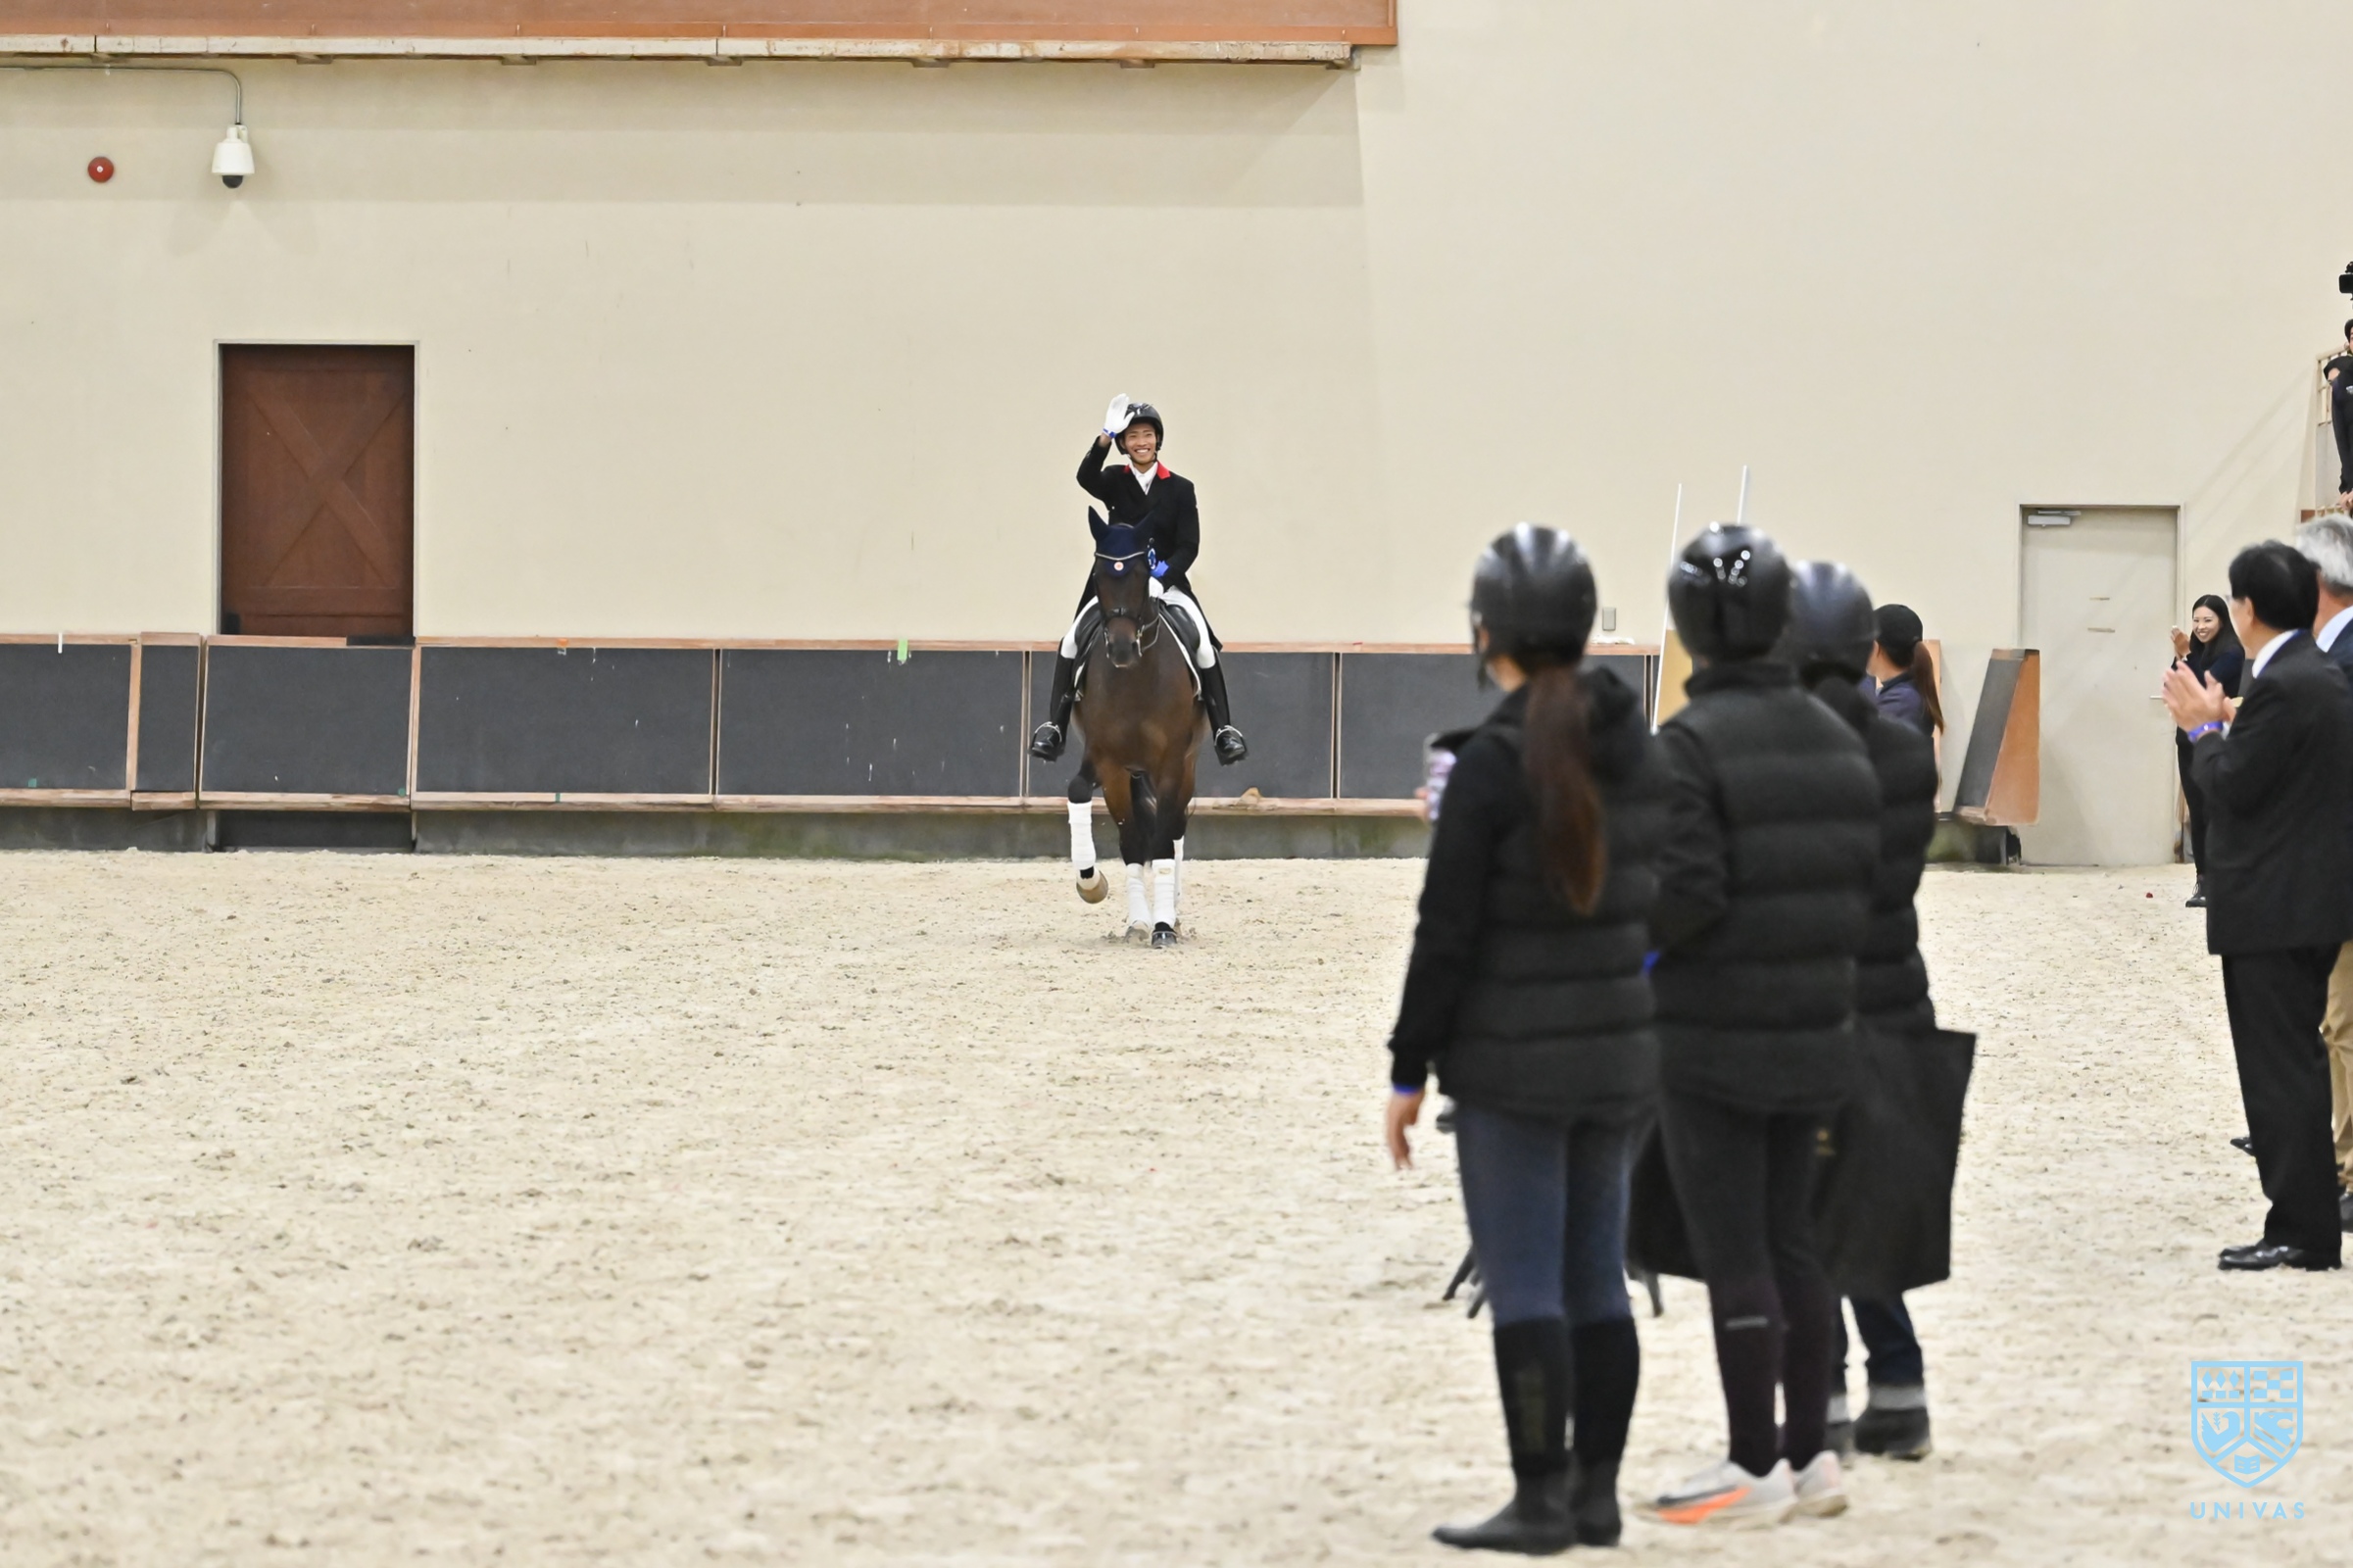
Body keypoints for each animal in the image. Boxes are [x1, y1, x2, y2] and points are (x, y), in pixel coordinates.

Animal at [1063, 520, 1206, 947]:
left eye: (1144, 574)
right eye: (1098, 575)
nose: (1122, 648)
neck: (1135, 679)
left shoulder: (1171, 765)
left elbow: (1161, 842)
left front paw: (1162, 927)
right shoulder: (1109, 765)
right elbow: (1126, 839)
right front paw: (1094, 886)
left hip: (1186, 767)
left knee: (1174, 830)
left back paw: (1172, 913)